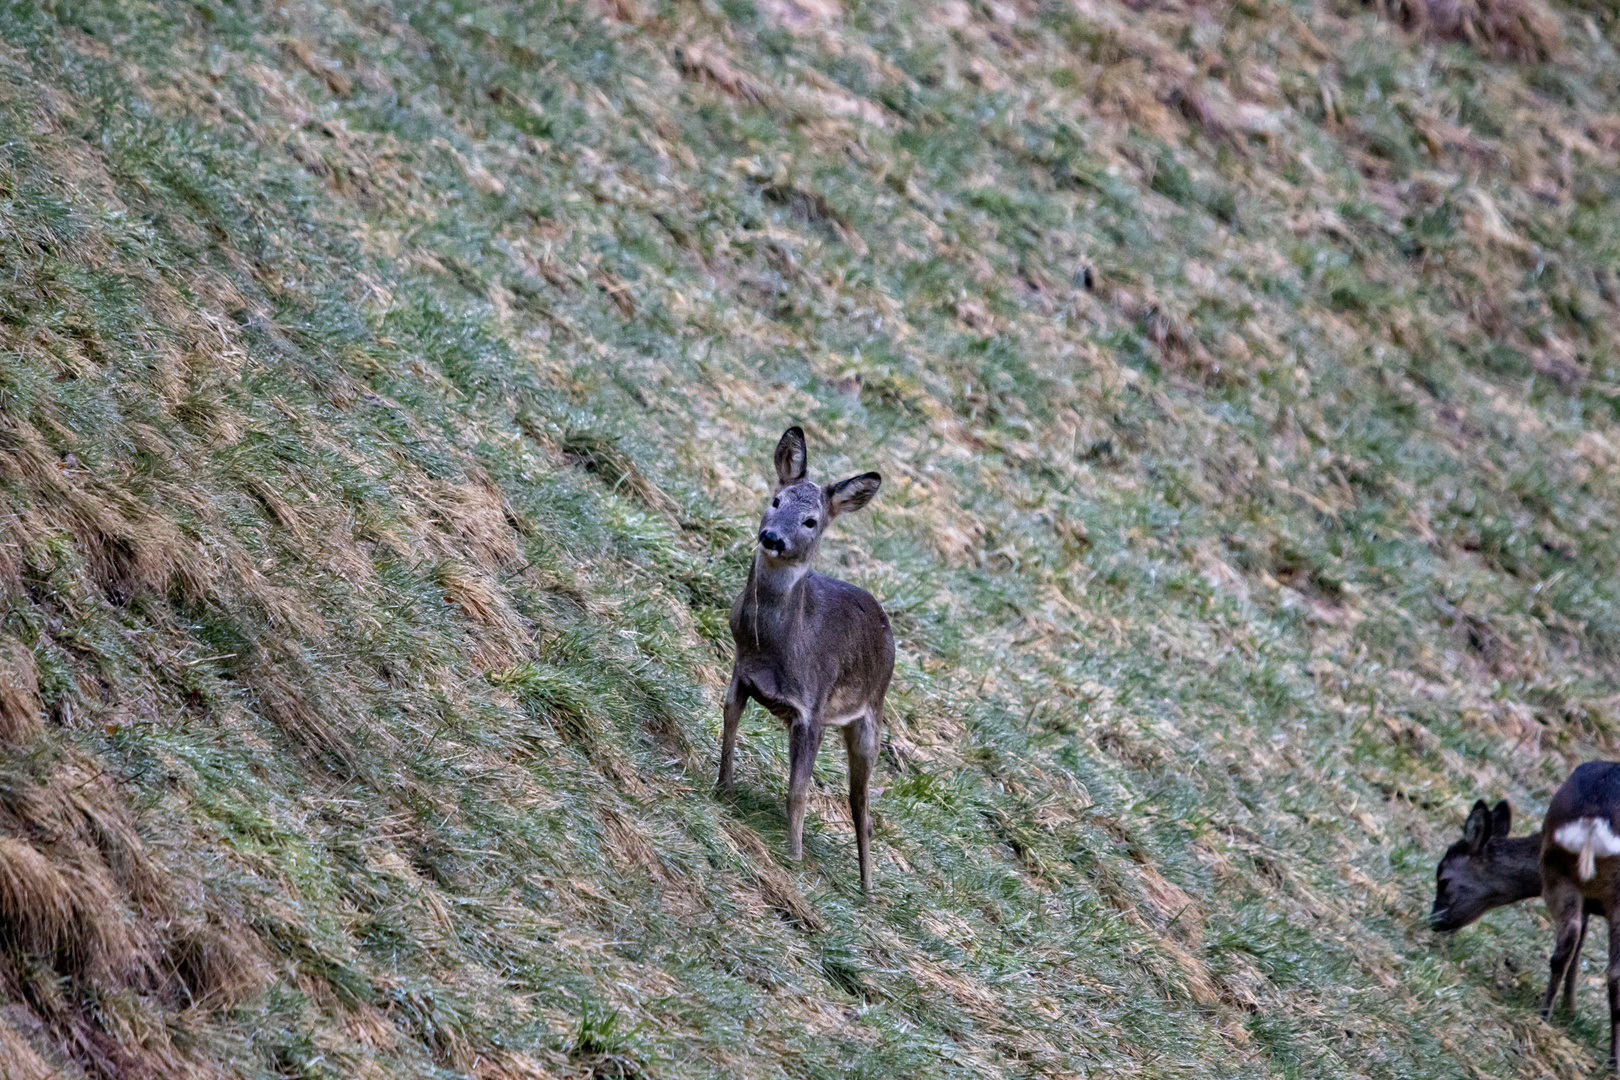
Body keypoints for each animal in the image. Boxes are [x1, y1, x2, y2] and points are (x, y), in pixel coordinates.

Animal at [722, 424, 900, 893]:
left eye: (811, 521)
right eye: (776, 500)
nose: (772, 538)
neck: (775, 646)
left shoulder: (813, 708)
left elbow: (798, 790)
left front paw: (794, 859)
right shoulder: (741, 672)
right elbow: (728, 728)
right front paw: (721, 790)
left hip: (870, 715)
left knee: (862, 805)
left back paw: (868, 888)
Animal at [1432, 764, 1620, 1068]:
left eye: (1443, 880)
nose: (1434, 921)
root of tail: (1594, 821)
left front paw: (1570, 1010)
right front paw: (1571, 1011)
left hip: (1562, 875)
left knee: (1578, 948)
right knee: (1590, 954)